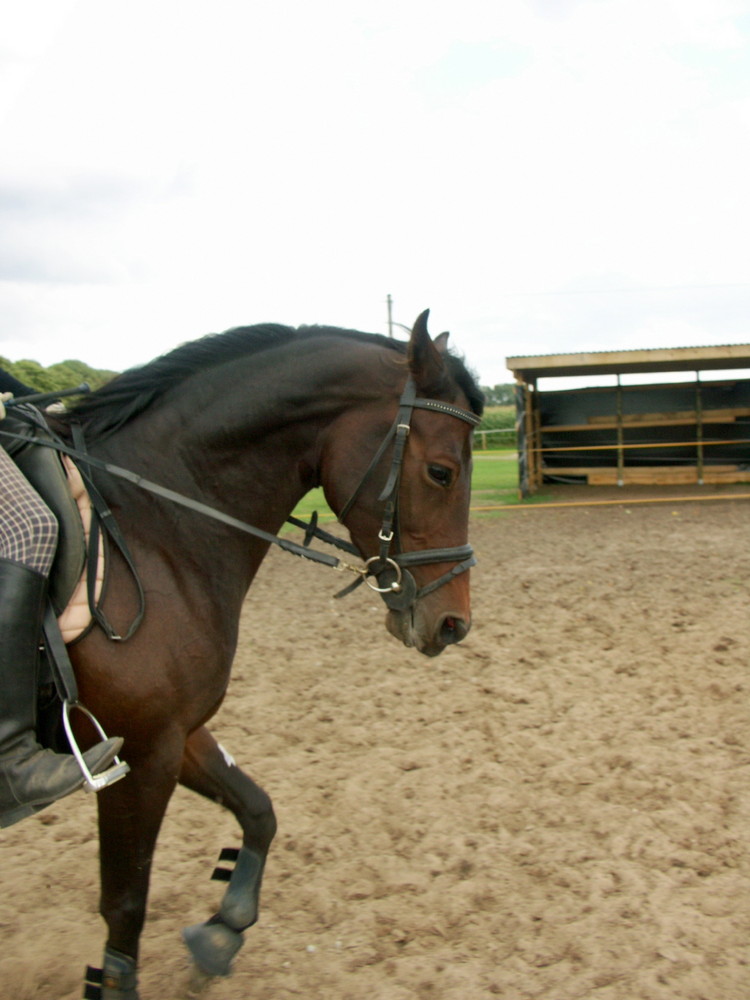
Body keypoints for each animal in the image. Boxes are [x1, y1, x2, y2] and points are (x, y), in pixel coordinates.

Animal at [41, 308, 484, 996]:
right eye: (441, 471)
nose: (453, 623)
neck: (148, 526)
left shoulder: (172, 733)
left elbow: (258, 808)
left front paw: (224, 927)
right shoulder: (136, 751)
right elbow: (126, 902)